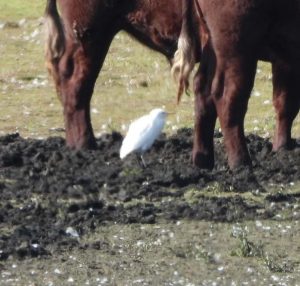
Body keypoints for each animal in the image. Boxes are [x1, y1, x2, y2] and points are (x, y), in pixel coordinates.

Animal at [173, 0, 300, 169]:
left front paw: (282, 149)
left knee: (202, 87)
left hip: (212, 43)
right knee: (227, 98)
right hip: (236, 44)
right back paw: (241, 163)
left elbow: (285, 102)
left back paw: (203, 161)